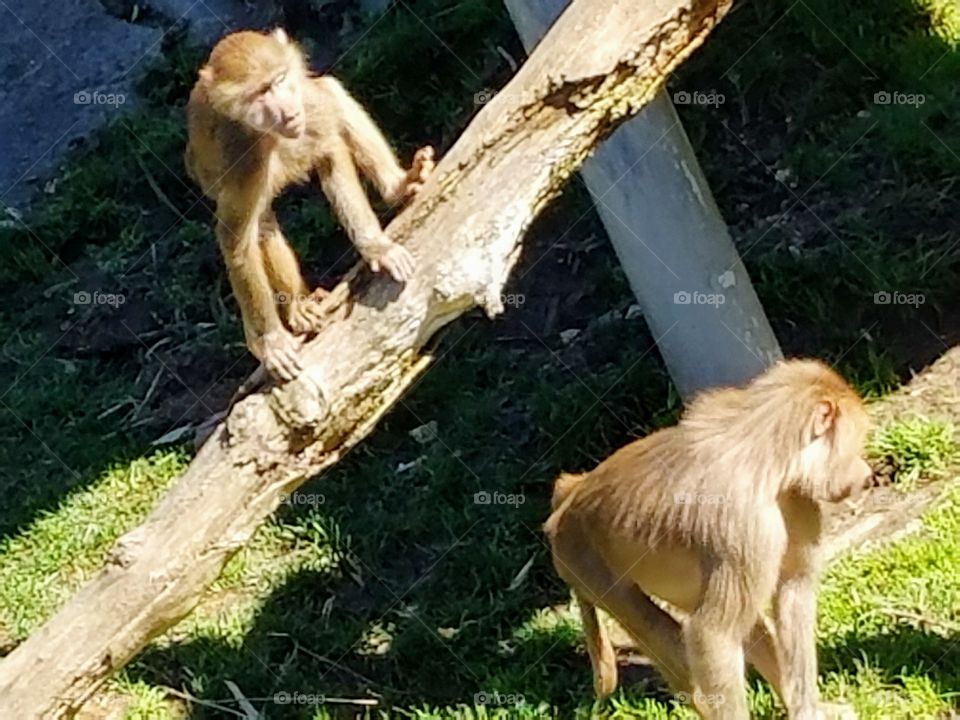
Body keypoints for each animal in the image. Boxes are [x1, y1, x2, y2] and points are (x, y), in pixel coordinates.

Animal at [185, 28, 435, 380]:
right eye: (261, 92)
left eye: (279, 80)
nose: (287, 109)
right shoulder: (244, 160)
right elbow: (236, 241)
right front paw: (270, 341)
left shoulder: (309, 109)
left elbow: (331, 151)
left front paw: (375, 247)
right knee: (260, 224)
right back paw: (295, 306)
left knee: (331, 91)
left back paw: (397, 187)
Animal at [544, 359, 873, 719]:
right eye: (855, 444)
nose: (866, 474)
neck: (764, 455)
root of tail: (569, 496)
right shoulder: (745, 524)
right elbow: (713, 636)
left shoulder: (796, 500)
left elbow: (793, 594)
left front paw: (807, 710)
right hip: (580, 560)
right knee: (657, 626)